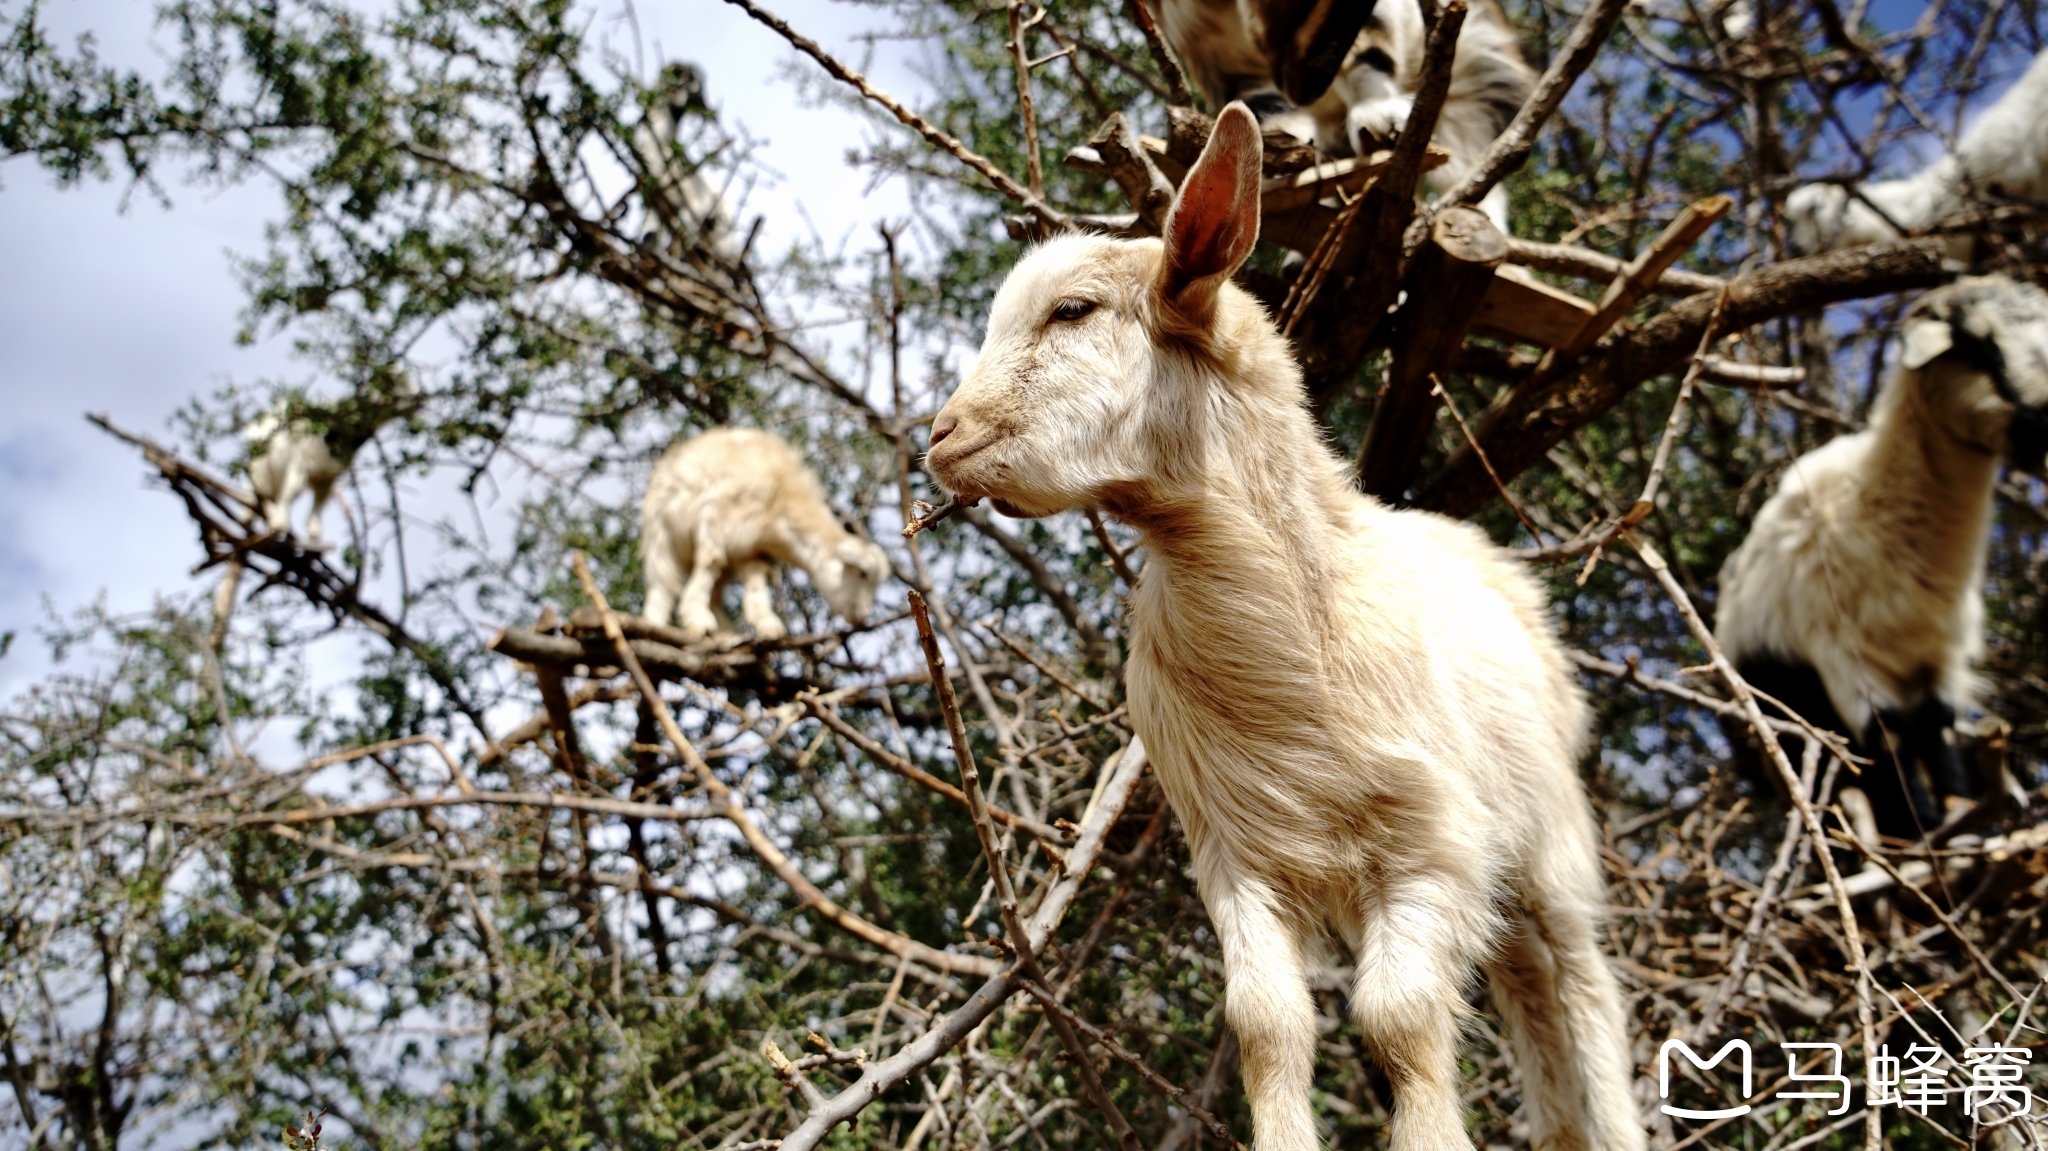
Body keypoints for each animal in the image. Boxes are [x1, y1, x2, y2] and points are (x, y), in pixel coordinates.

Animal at [643, 425, 892, 634]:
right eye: (862, 573)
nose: (862, 617)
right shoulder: (717, 519)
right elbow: (710, 562)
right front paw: (697, 619)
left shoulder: (747, 546)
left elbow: (755, 578)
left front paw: (768, 625)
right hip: (660, 532)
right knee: (662, 582)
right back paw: (655, 624)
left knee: (715, 594)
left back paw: (726, 632)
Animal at [921, 102, 1638, 1146]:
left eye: (1074, 311)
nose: (940, 437)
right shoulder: (1235, 851)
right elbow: (1267, 1027)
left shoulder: (1431, 841)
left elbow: (1401, 1020)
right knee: (1528, 995)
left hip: (1549, 836)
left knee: (1584, 988)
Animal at [1712, 274, 2048, 839]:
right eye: (1981, 347)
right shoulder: (1841, 656)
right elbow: (1884, 741)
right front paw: (1926, 830)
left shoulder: (1939, 661)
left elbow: (1937, 733)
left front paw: (1958, 816)